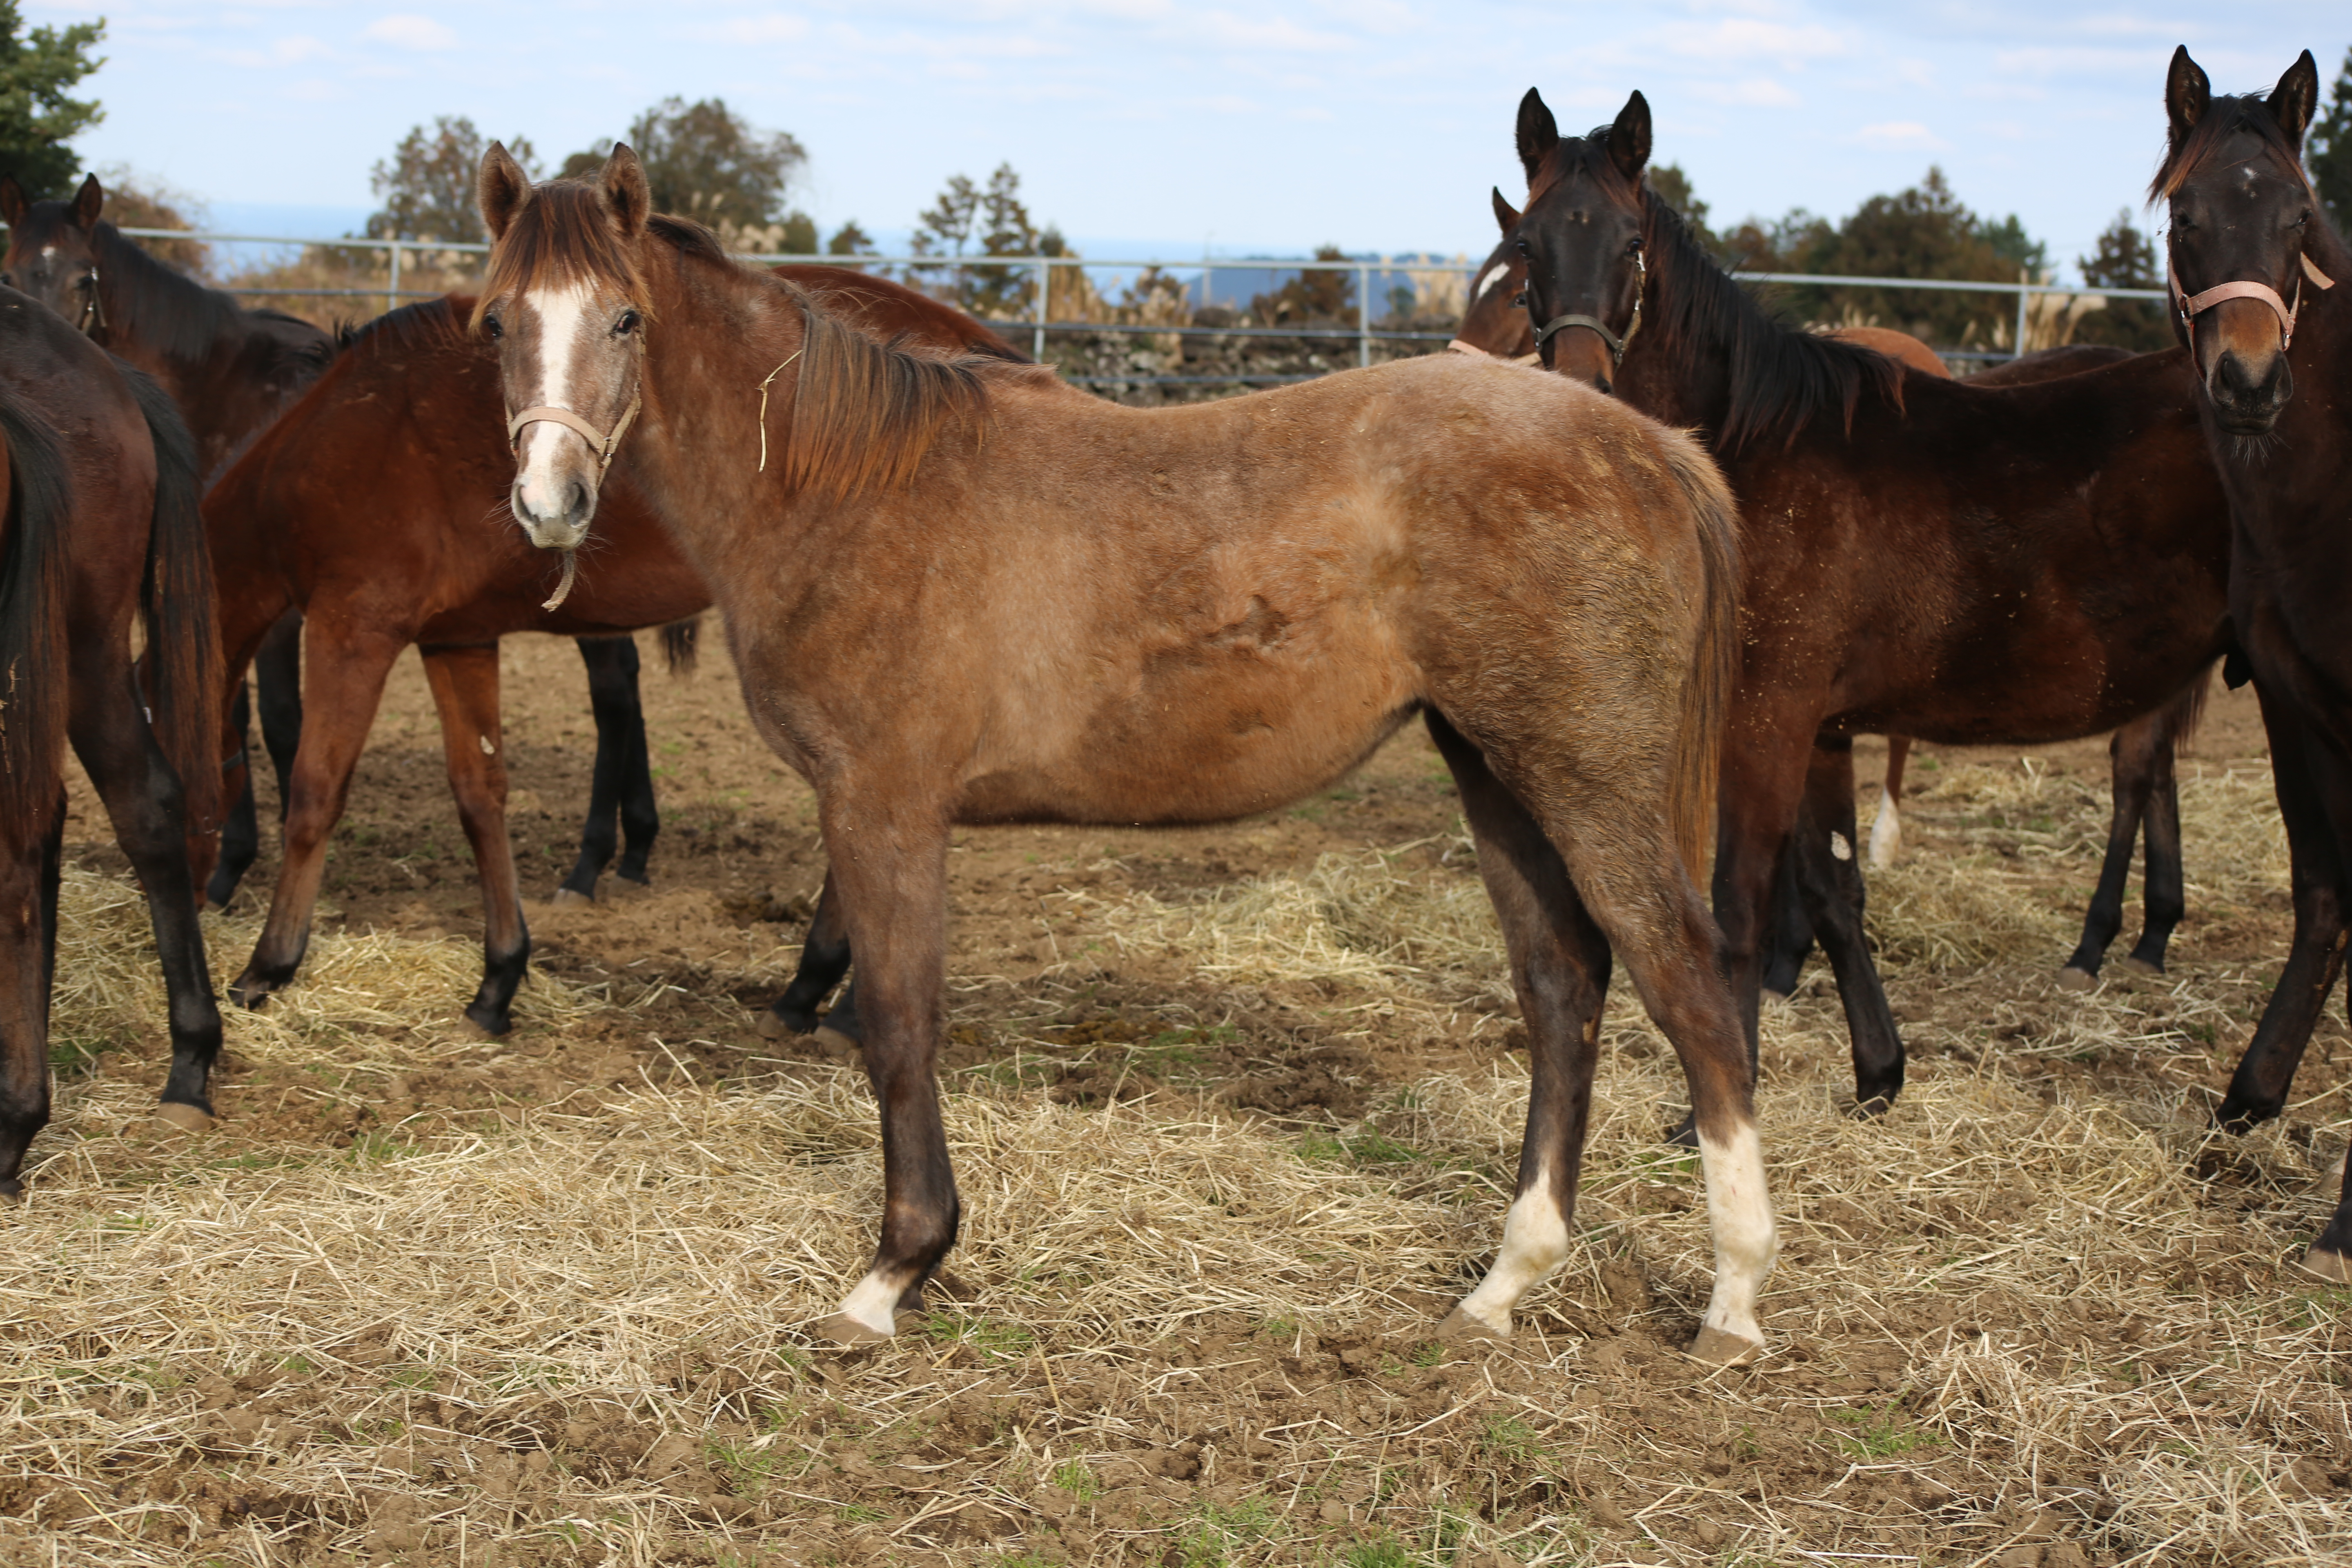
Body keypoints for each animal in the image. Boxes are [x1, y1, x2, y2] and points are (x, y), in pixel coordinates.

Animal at [0, 181, 715, 921]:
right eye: (13, 272)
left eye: (83, 278)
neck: (228, 395)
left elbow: (276, 719)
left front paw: (243, 865)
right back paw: (634, 850)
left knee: (613, 695)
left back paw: (591, 861)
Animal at [209, 271, 1030, 1044]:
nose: (212, 879)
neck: (338, 440)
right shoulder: (455, 639)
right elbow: (479, 796)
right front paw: (498, 981)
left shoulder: (353, 628)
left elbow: (314, 795)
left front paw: (266, 966)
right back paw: (812, 995)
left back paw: (842, 1006)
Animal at [468, 147, 1768, 1363]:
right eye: (495, 321)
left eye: (626, 318)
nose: (548, 500)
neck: (845, 488)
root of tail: (1652, 448)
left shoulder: (883, 805)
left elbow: (898, 1024)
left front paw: (894, 1272)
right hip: (1496, 769)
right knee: (1563, 990)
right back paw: (1505, 1283)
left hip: (1585, 781)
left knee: (1690, 991)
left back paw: (1734, 1301)